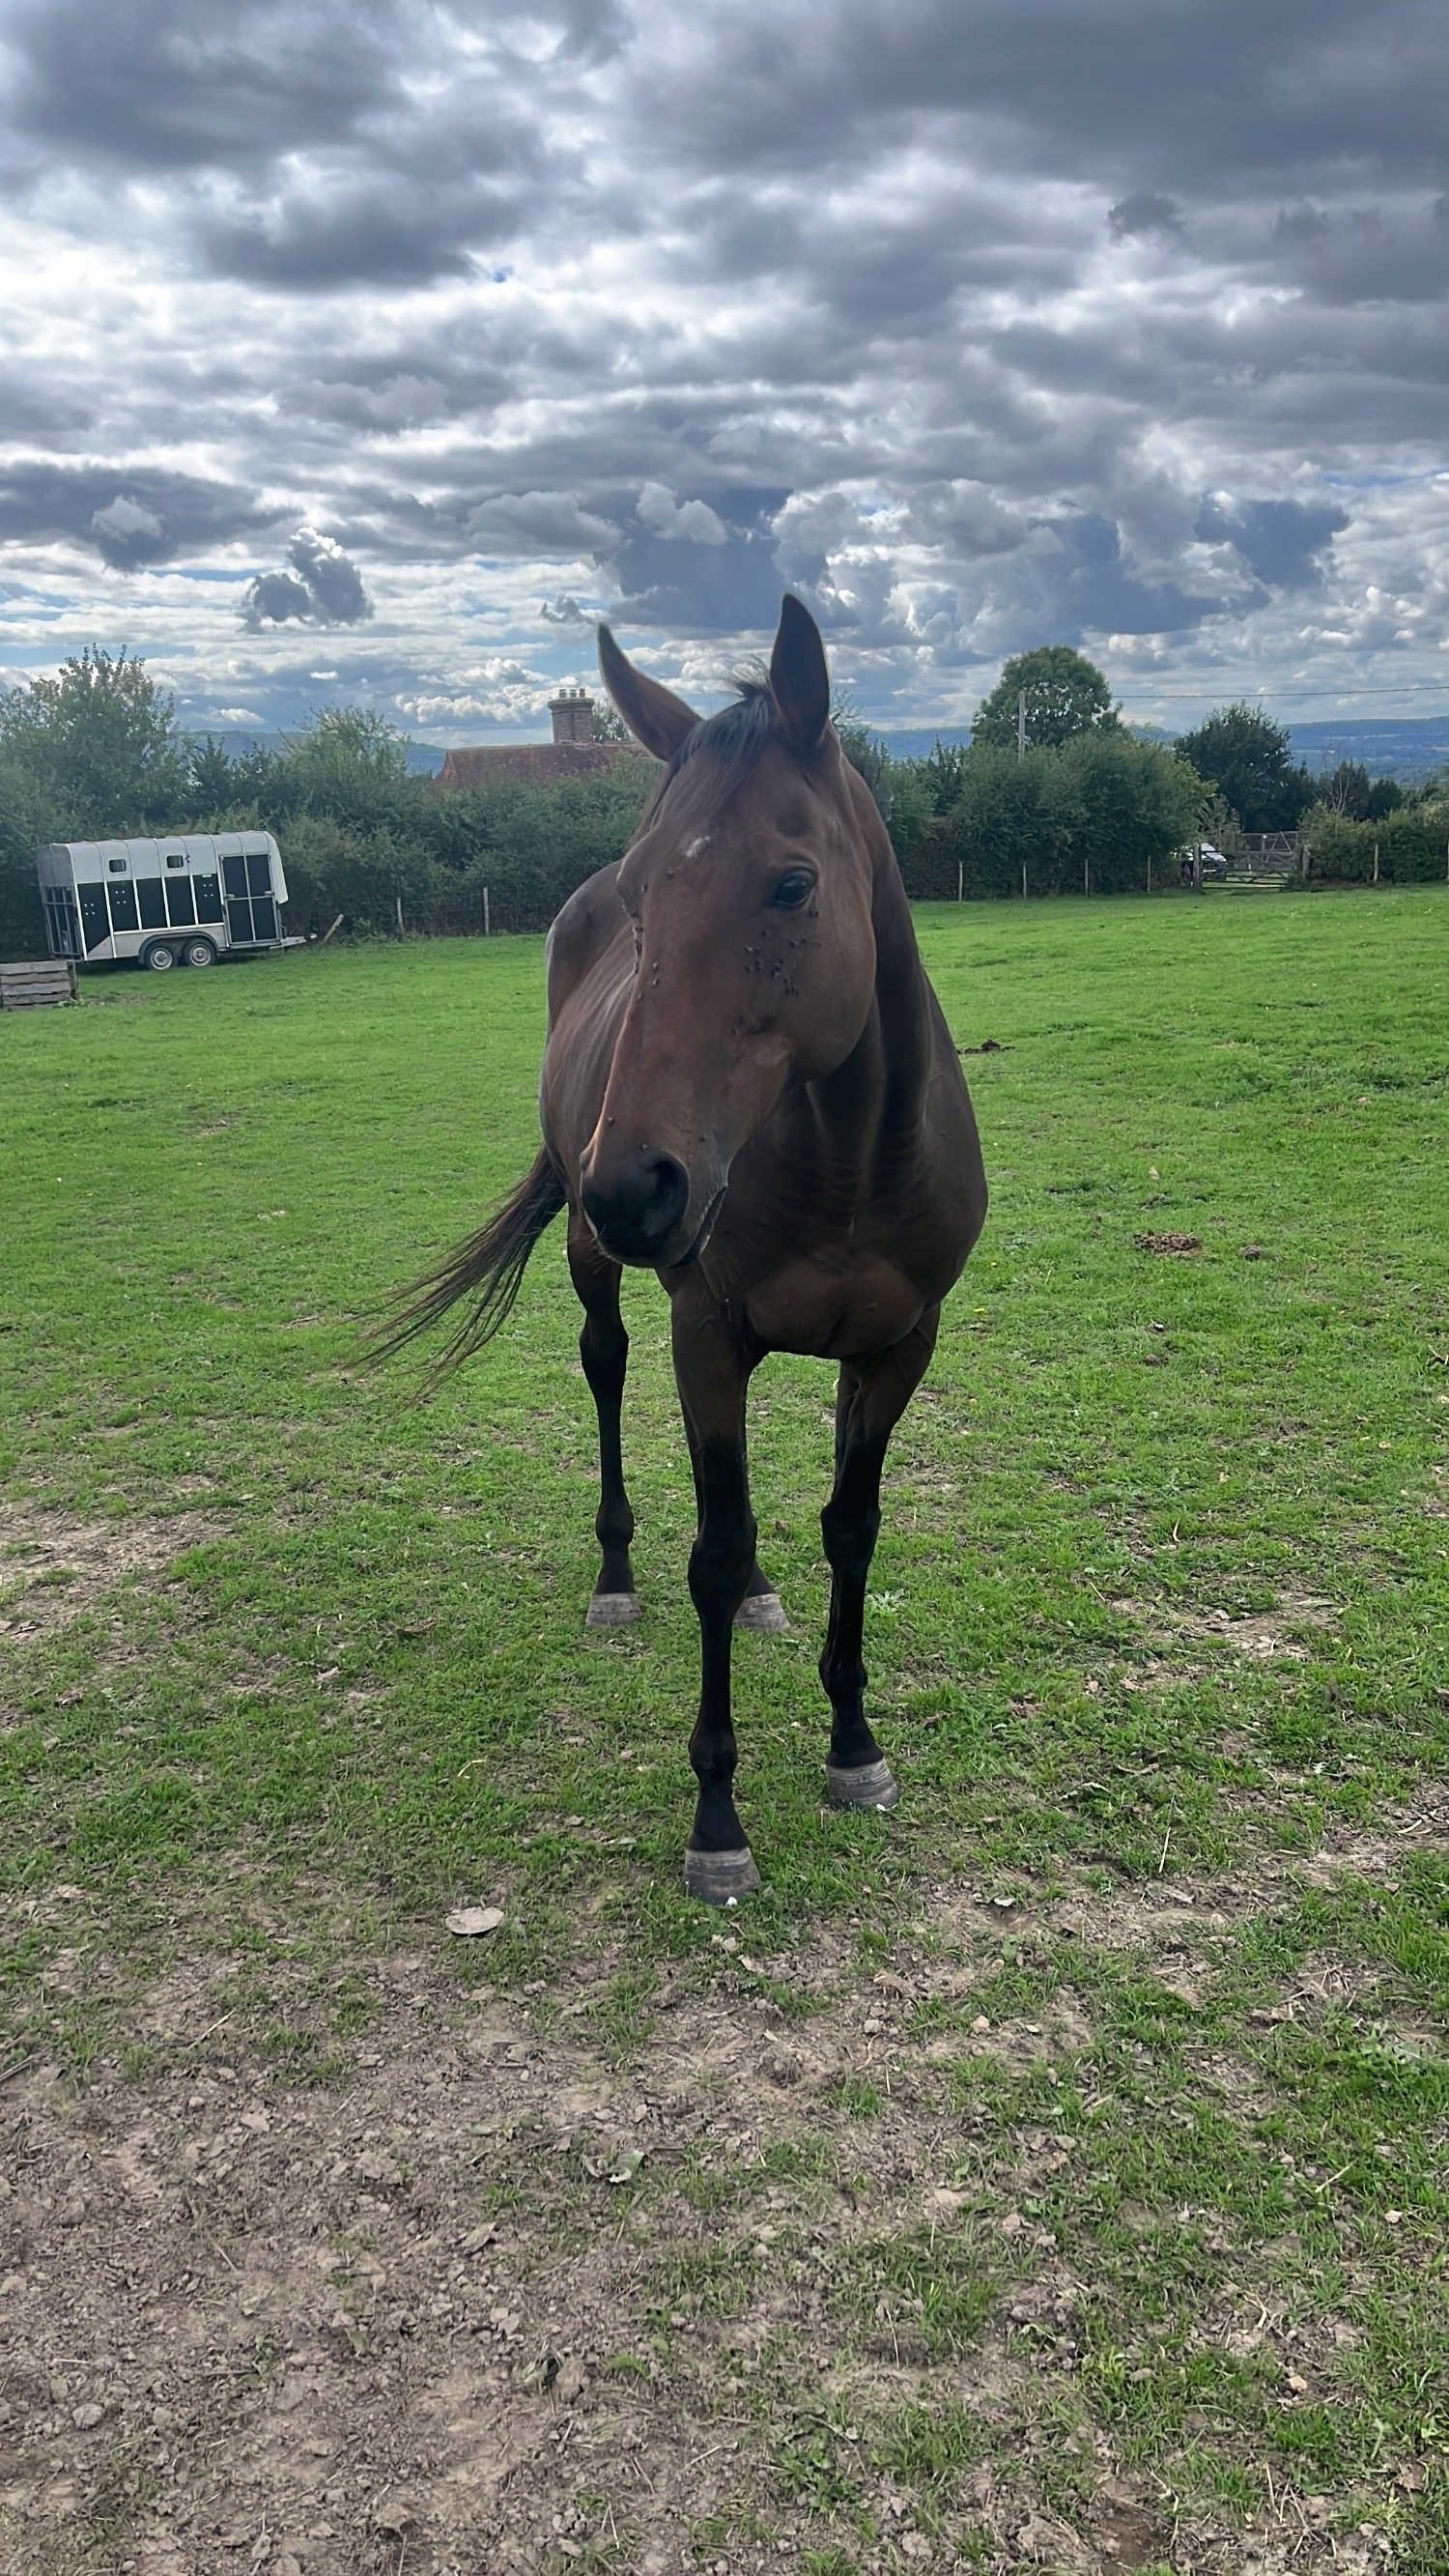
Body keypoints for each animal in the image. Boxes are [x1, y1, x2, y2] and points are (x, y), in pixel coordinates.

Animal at [391, 595, 987, 1902]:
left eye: (792, 883)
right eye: (642, 895)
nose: (633, 1182)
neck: (847, 1165)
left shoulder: (898, 1349)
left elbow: (848, 1527)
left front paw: (854, 1746)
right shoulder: (707, 1333)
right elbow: (710, 1552)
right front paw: (719, 1817)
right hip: (606, 1275)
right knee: (608, 1371)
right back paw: (616, 1578)